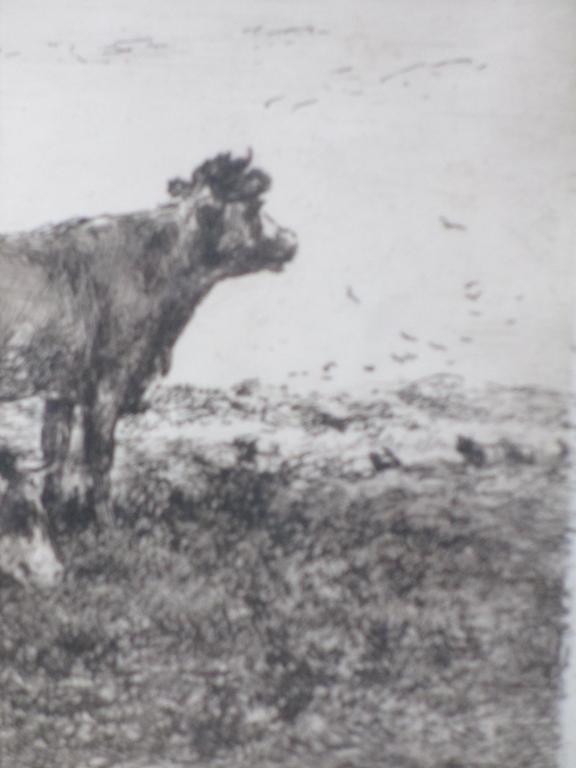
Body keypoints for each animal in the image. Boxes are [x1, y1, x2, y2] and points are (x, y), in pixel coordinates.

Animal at [0, 152, 297, 527]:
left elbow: (55, 451)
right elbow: (99, 455)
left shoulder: (60, 389)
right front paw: (108, 525)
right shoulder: (108, 382)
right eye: (255, 205)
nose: (292, 240)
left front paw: (54, 515)